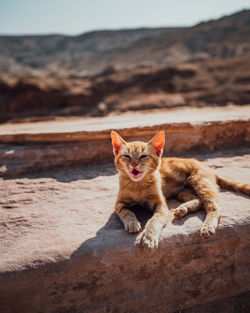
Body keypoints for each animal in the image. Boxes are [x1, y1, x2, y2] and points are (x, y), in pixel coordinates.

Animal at [111, 129, 250, 249]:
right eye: (127, 156)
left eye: (143, 156)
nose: (134, 164)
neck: (138, 185)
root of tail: (208, 167)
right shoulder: (119, 204)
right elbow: (127, 212)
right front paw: (132, 223)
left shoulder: (162, 207)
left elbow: (154, 221)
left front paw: (149, 238)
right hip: (183, 191)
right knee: (199, 200)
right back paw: (183, 209)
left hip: (200, 182)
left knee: (214, 205)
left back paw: (207, 226)